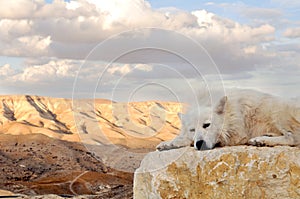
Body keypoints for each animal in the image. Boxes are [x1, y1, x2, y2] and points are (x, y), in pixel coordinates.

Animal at [157, 89, 300, 151]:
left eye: (207, 125)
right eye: (192, 130)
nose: (199, 143)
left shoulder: (238, 135)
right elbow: (183, 138)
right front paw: (167, 143)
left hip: (277, 112)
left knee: (293, 138)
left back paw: (261, 140)